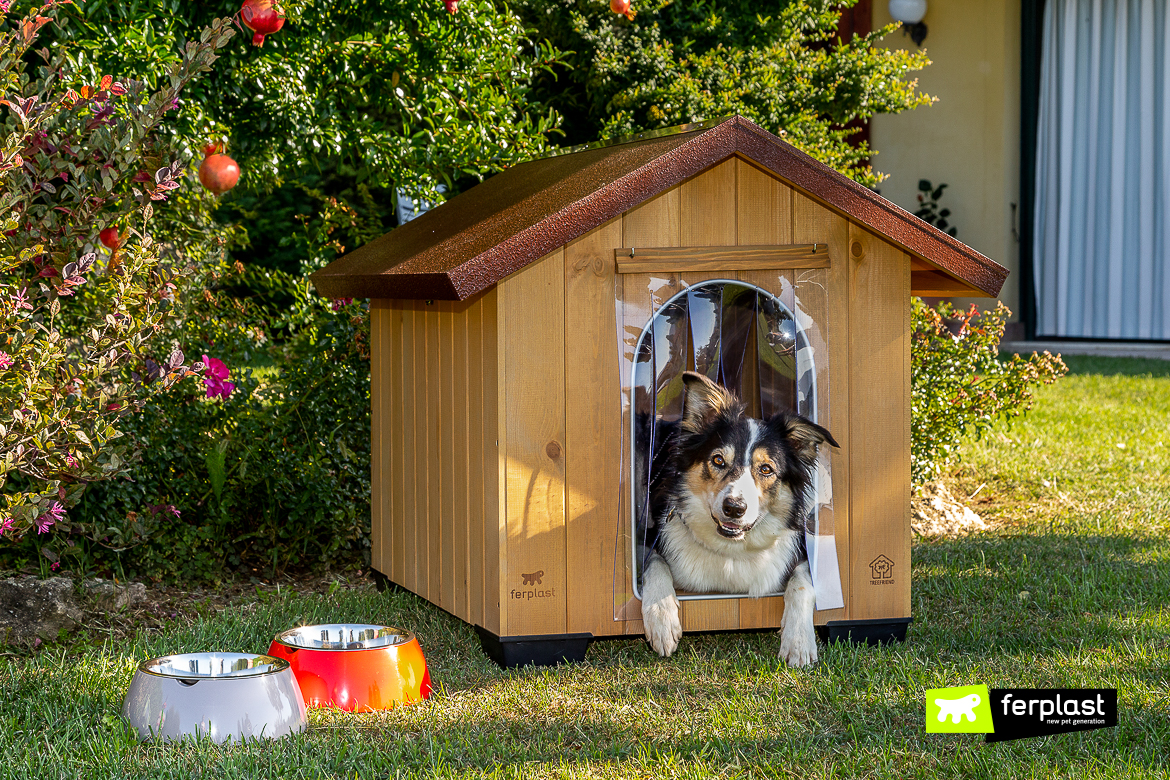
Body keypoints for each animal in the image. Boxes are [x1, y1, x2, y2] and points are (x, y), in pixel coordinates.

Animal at [641, 371, 842, 664]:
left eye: (766, 469)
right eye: (718, 460)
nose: (734, 508)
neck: (732, 550)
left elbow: (803, 582)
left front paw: (799, 641)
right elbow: (654, 563)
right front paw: (661, 617)